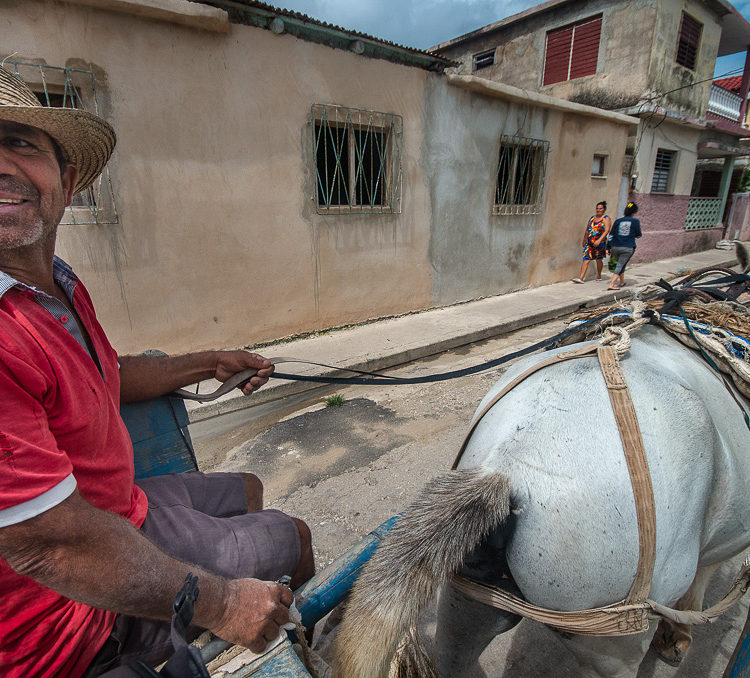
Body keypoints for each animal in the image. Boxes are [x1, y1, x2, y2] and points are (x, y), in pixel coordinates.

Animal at [334, 316, 750, 676]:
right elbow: (701, 579)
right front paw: (678, 636)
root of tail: (506, 468)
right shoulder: (731, 539)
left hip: (469, 597)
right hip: (611, 639)